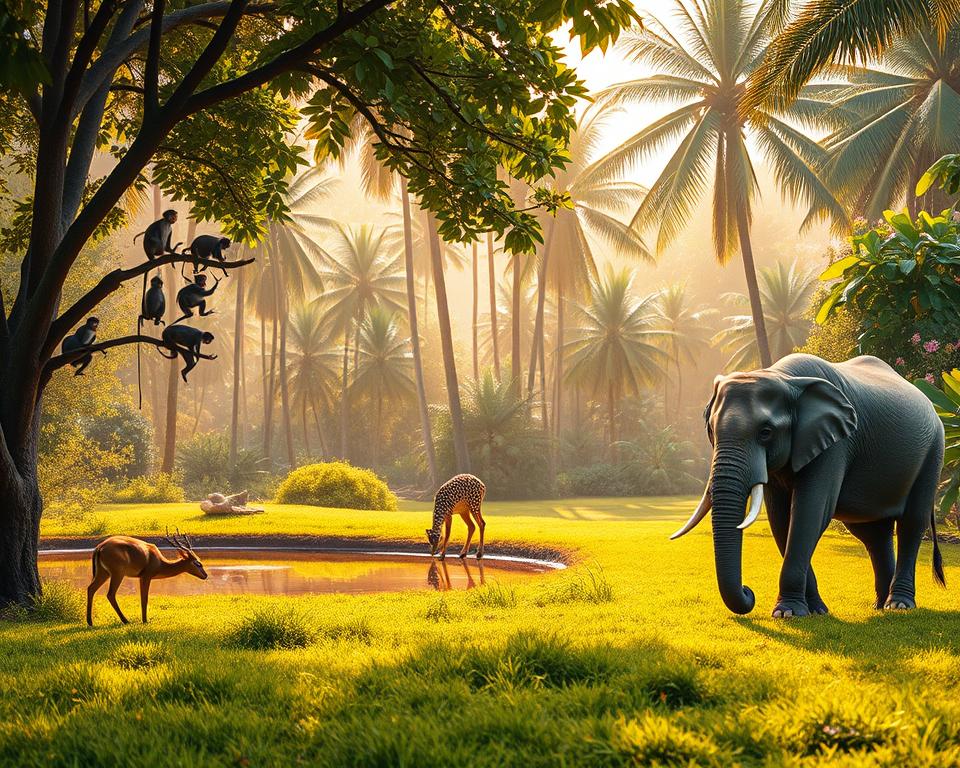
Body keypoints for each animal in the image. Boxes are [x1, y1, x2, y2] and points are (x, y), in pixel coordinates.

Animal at [673, 352, 945, 618]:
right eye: (711, 430)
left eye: (765, 432)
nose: (749, 592)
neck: (784, 378)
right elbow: (781, 520)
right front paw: (815, 611)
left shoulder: (836, 444)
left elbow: (810, 513)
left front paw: (787, 612)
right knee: (873, 534)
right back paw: (880, 606)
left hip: (934, 450)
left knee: (912, 523)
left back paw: (899, 605)